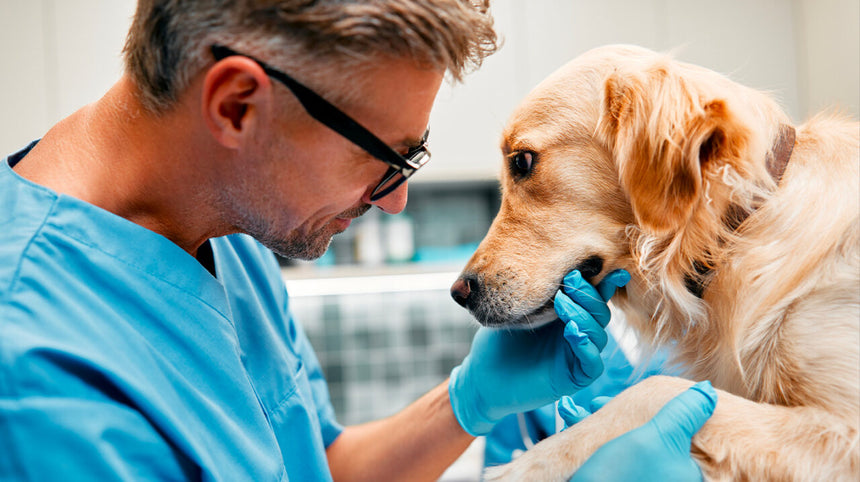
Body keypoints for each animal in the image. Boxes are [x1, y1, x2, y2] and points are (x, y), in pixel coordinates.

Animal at [450, 44, 860, 478]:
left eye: (522, 161)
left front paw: (529, 465)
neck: (737, 230)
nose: (459, 292)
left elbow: (654, 390)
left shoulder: (842, 429)